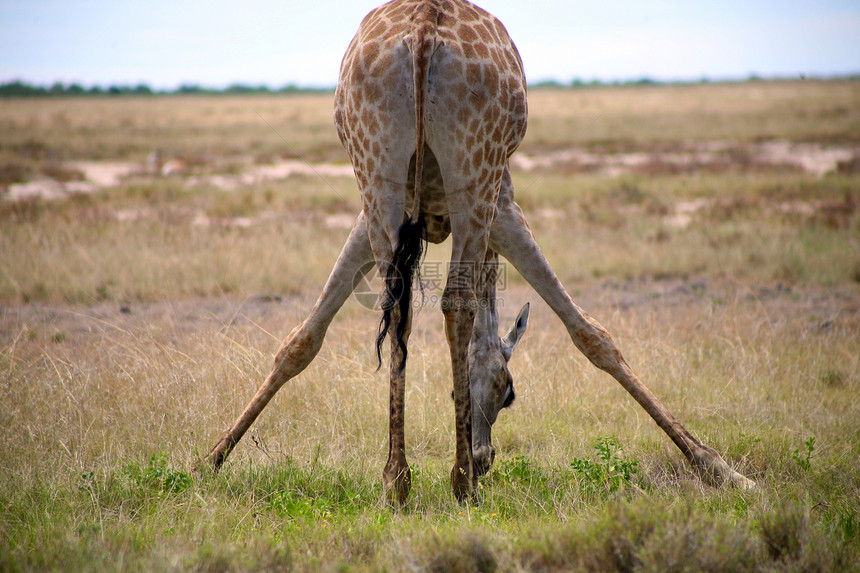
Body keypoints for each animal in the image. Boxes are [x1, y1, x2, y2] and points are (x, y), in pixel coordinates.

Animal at [205, 0, 756, 500]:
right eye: (510, 393)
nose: (484, 457)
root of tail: (424, 28)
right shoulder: (504, 205)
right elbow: (591, 334)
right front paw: (723, 470)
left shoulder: (370, 217)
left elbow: (302, 339)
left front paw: (210, 459)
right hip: (476, 173)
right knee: (457, 302)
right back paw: (459, 484)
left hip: (376, 171)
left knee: (399, 310)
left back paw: (397, 480)